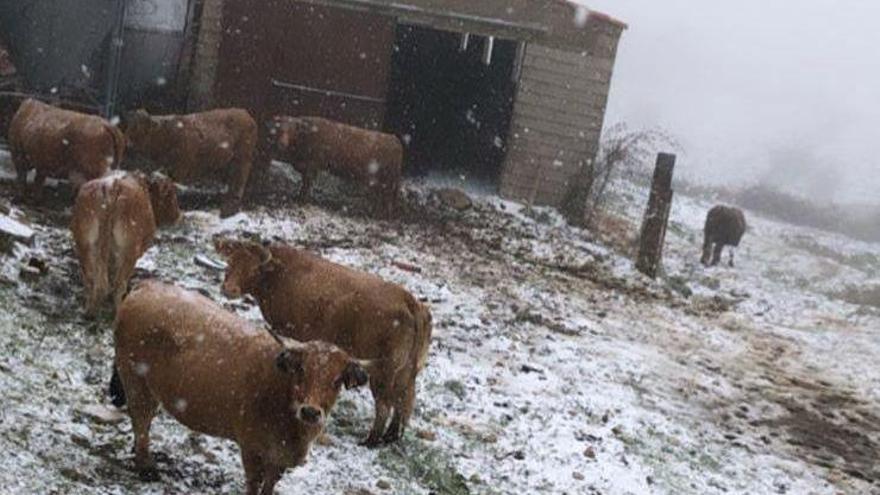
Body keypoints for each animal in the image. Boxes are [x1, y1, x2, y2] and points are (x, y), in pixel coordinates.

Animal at [71, 172, 180, 316]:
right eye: (171, 194)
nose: (178, 215)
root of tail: (111, 186)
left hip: (83, 243)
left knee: (91, 278)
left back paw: (90, 310)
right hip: (129, 249)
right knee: (118, 285)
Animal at [113, 280, 368, 494]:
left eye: (337, 380)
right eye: (301, 369)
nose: (310, 412)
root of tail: (147, 287)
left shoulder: (279, 460)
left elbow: (269, 485)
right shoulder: (251, 448)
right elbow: (254, 484)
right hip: (136, 383)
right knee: (141, 420)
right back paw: (146, 466)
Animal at [124, 108, 256, 217]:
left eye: (139, 127)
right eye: (129, 125)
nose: (127, 144)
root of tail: (246, 114)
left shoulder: (180, 168)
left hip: (242, 160)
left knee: (238, 183)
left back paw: (228, 210)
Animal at [215, 238, 432, 448]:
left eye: (254, 269)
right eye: (230, 262)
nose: (229, 289)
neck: (280, 274)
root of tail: (410, 302)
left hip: (383, 372)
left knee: (385, 404)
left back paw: (370, 440)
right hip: (407, 372)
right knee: (405, 399)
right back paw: (391, 436)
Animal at [270, 117, 404, 218]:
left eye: (292, 130)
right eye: (280, 130)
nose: (282, 143)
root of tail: (395, 139)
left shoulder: (312, 165)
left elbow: (307, 184)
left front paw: (302, 199)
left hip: (388, 179)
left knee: (387, 197)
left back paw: (382, 214)